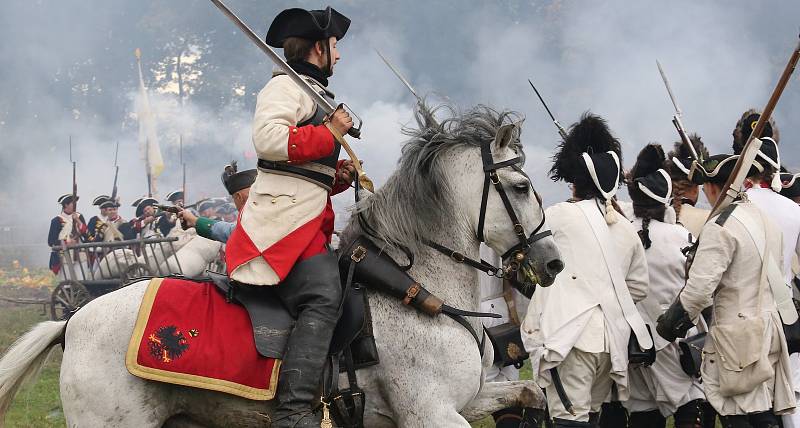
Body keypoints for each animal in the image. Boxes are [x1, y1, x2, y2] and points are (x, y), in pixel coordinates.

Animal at [0, 105, 564, 426]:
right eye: (520, 187)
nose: (553, 263)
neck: (418, 289)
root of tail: (73, 321)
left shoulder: (466, 401)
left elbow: (531, 391)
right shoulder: (432, 414)